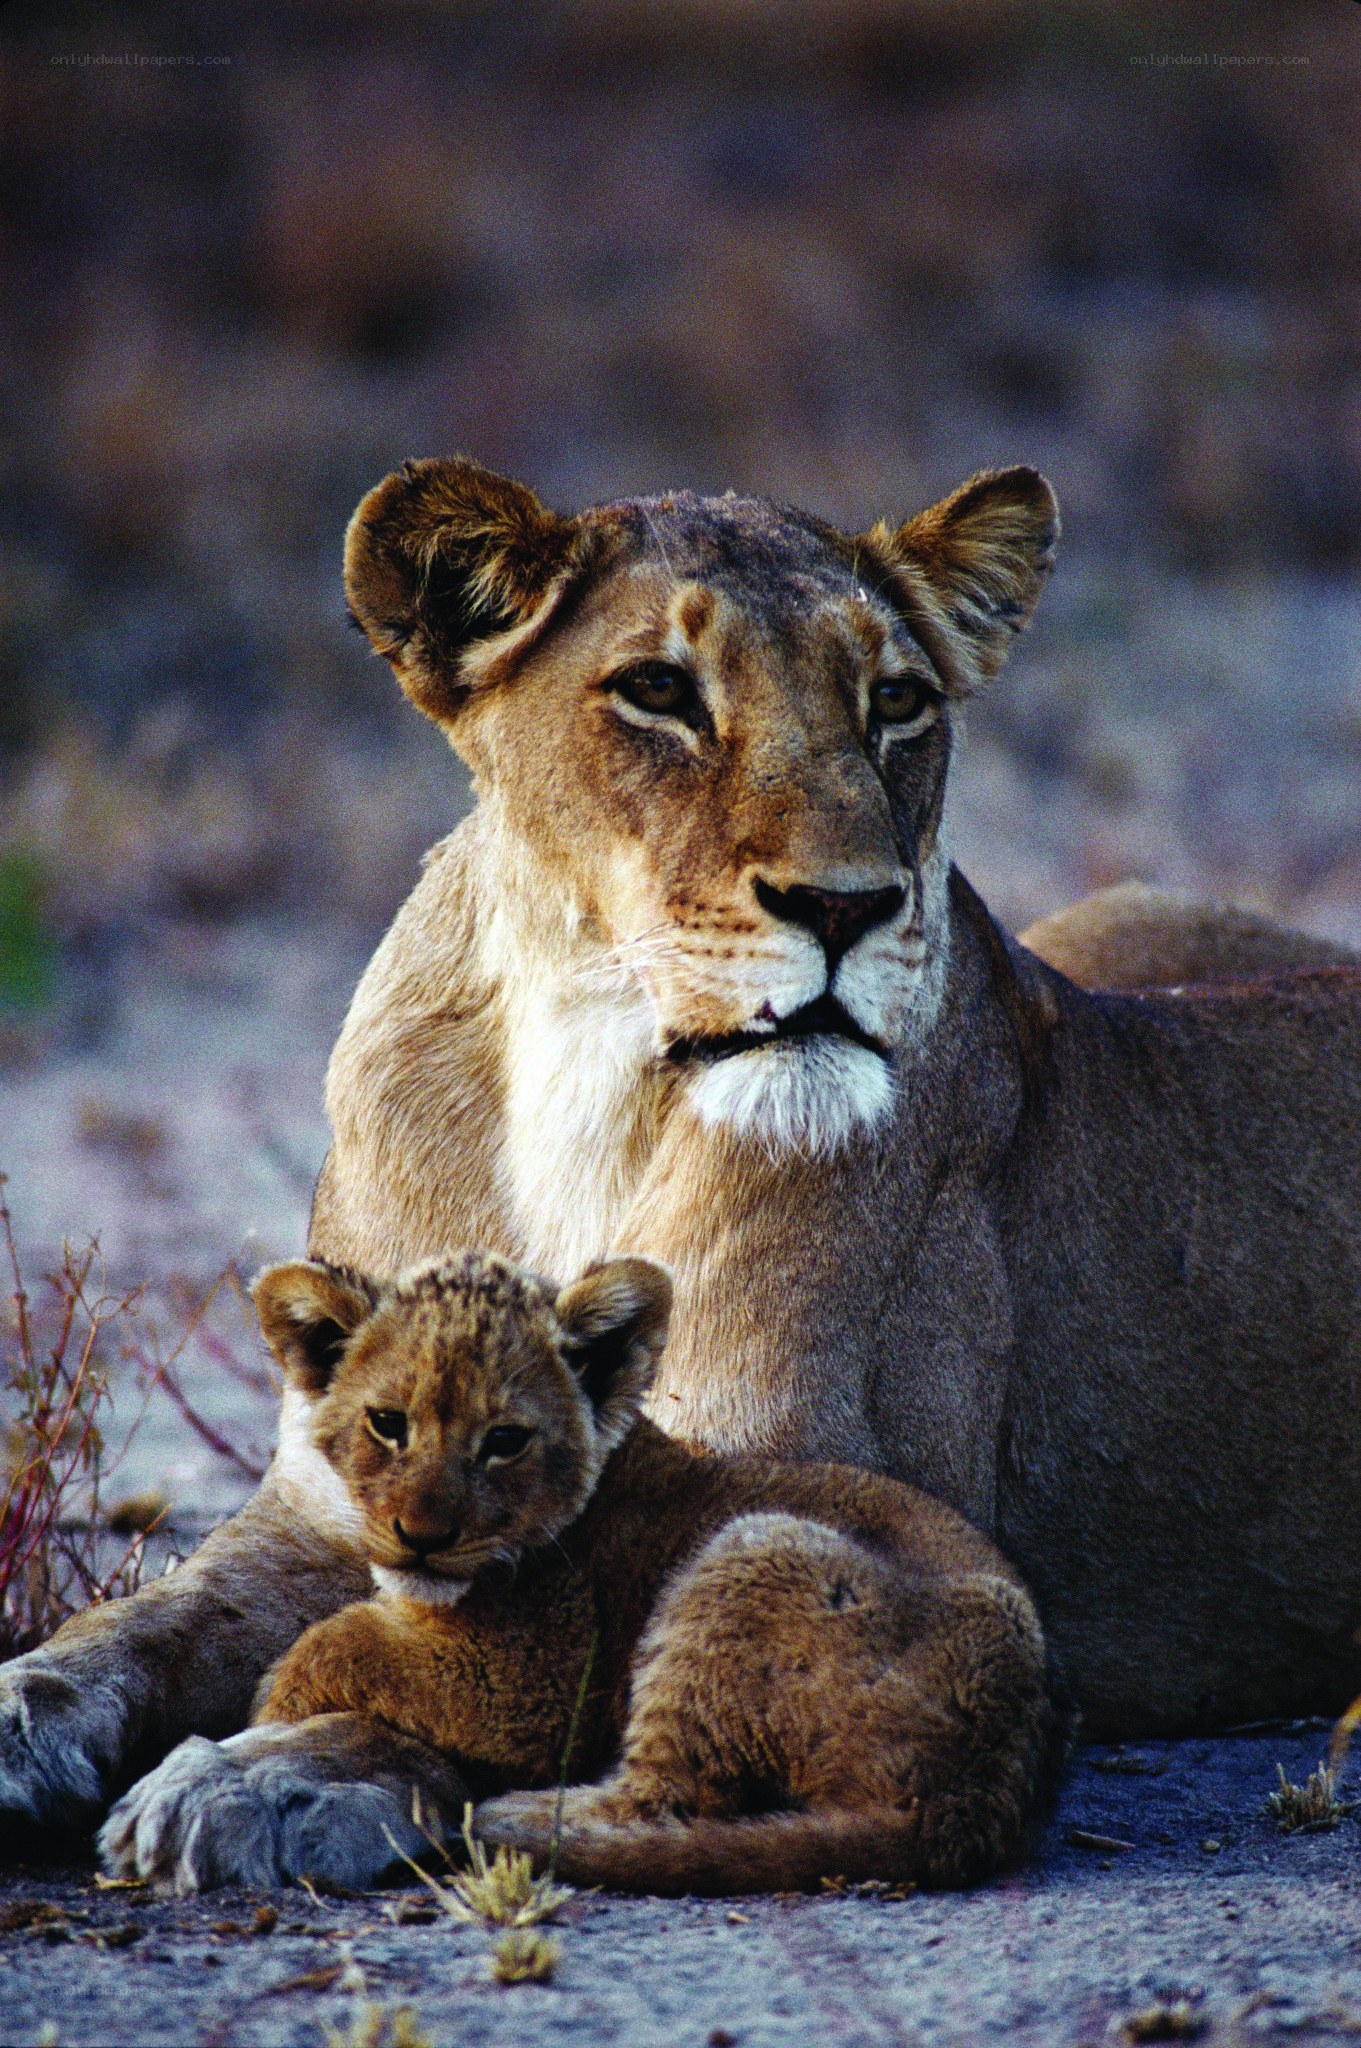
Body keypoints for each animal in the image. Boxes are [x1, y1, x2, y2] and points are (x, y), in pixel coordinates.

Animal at [230, 1248, 1059, 1895]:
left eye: (504, 1440)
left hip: (747, 1549)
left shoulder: (531, 1693)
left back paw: (519, 1818)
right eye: (387, 1424)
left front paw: (275, 1708)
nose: (422, 1538)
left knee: (665, 1800)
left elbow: (336, 1639)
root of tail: (966, 1806)